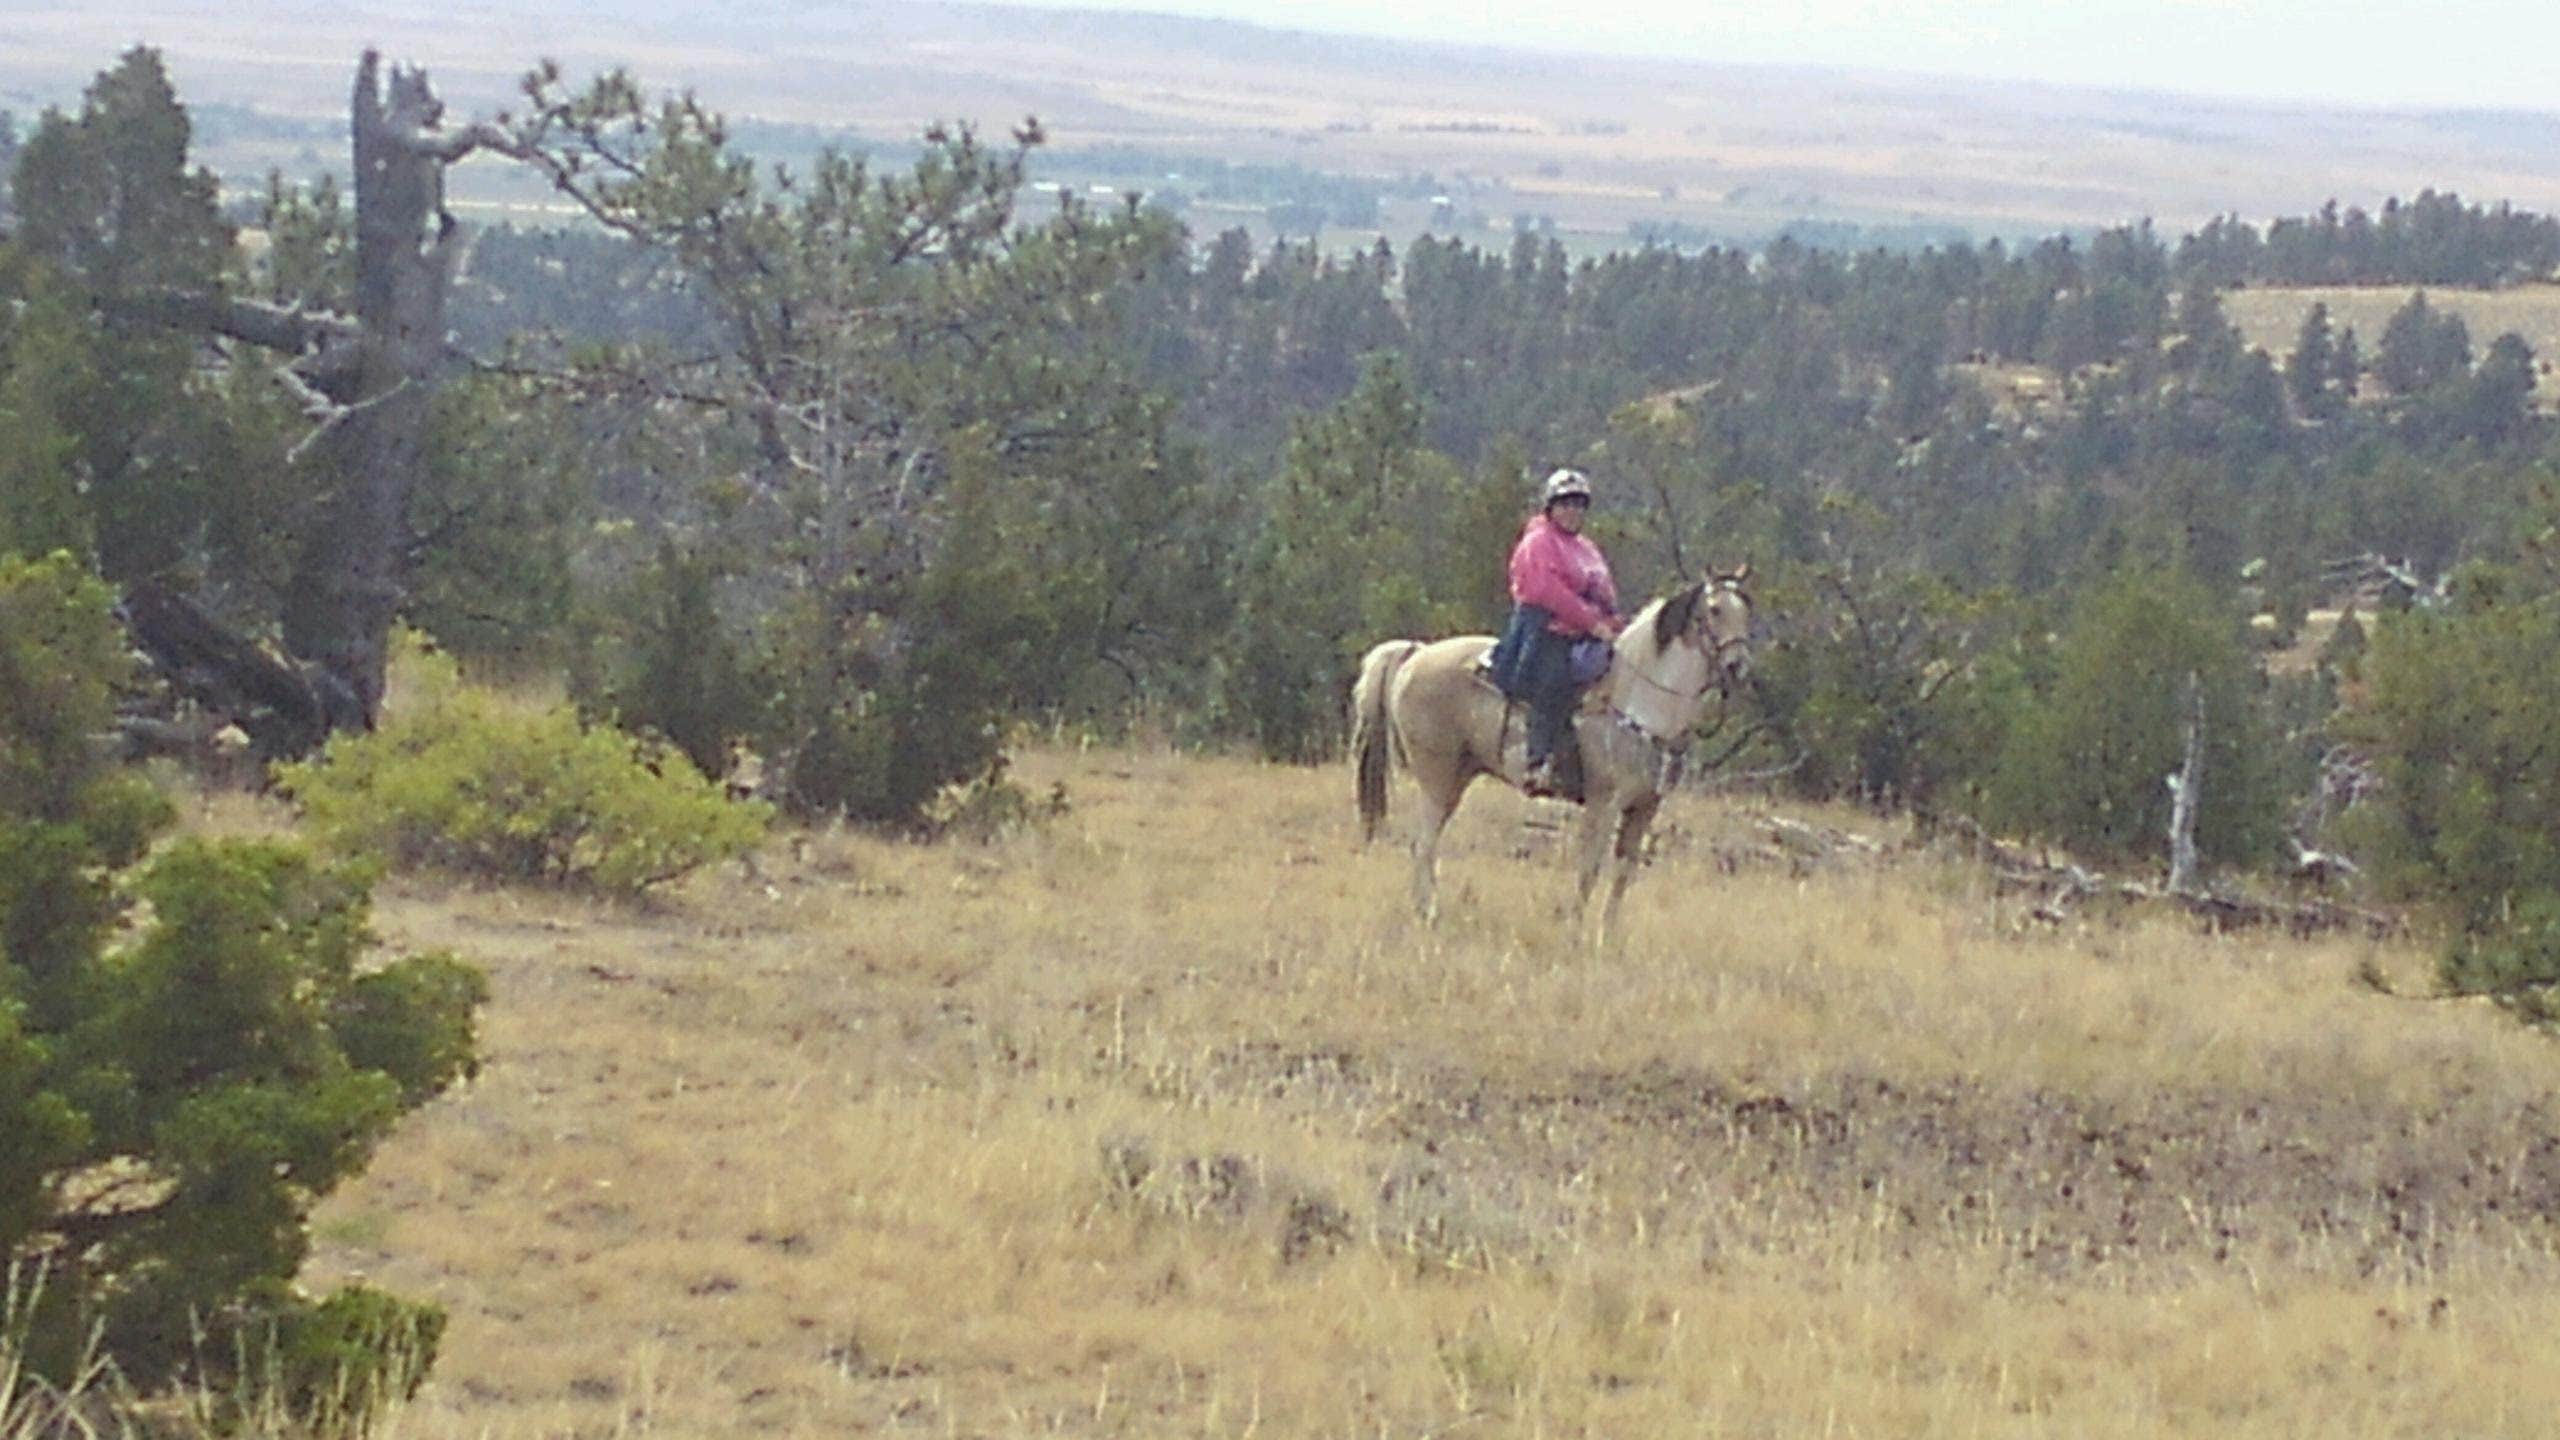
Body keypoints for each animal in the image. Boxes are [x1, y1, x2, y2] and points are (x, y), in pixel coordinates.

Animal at [1351, 566, 1751, 937]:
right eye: (1715, 609)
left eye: (1746, 609)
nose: (1738, 666)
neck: (1638, 701)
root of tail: (1415, 653)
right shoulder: (1604, 803)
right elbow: (1589, 868)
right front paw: (1573, 935)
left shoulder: (1644, 807)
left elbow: (1623, 873)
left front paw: (1607, 941)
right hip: (1437, 777)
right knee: (1424, 843)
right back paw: (1428, 915)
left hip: (1456, 778)